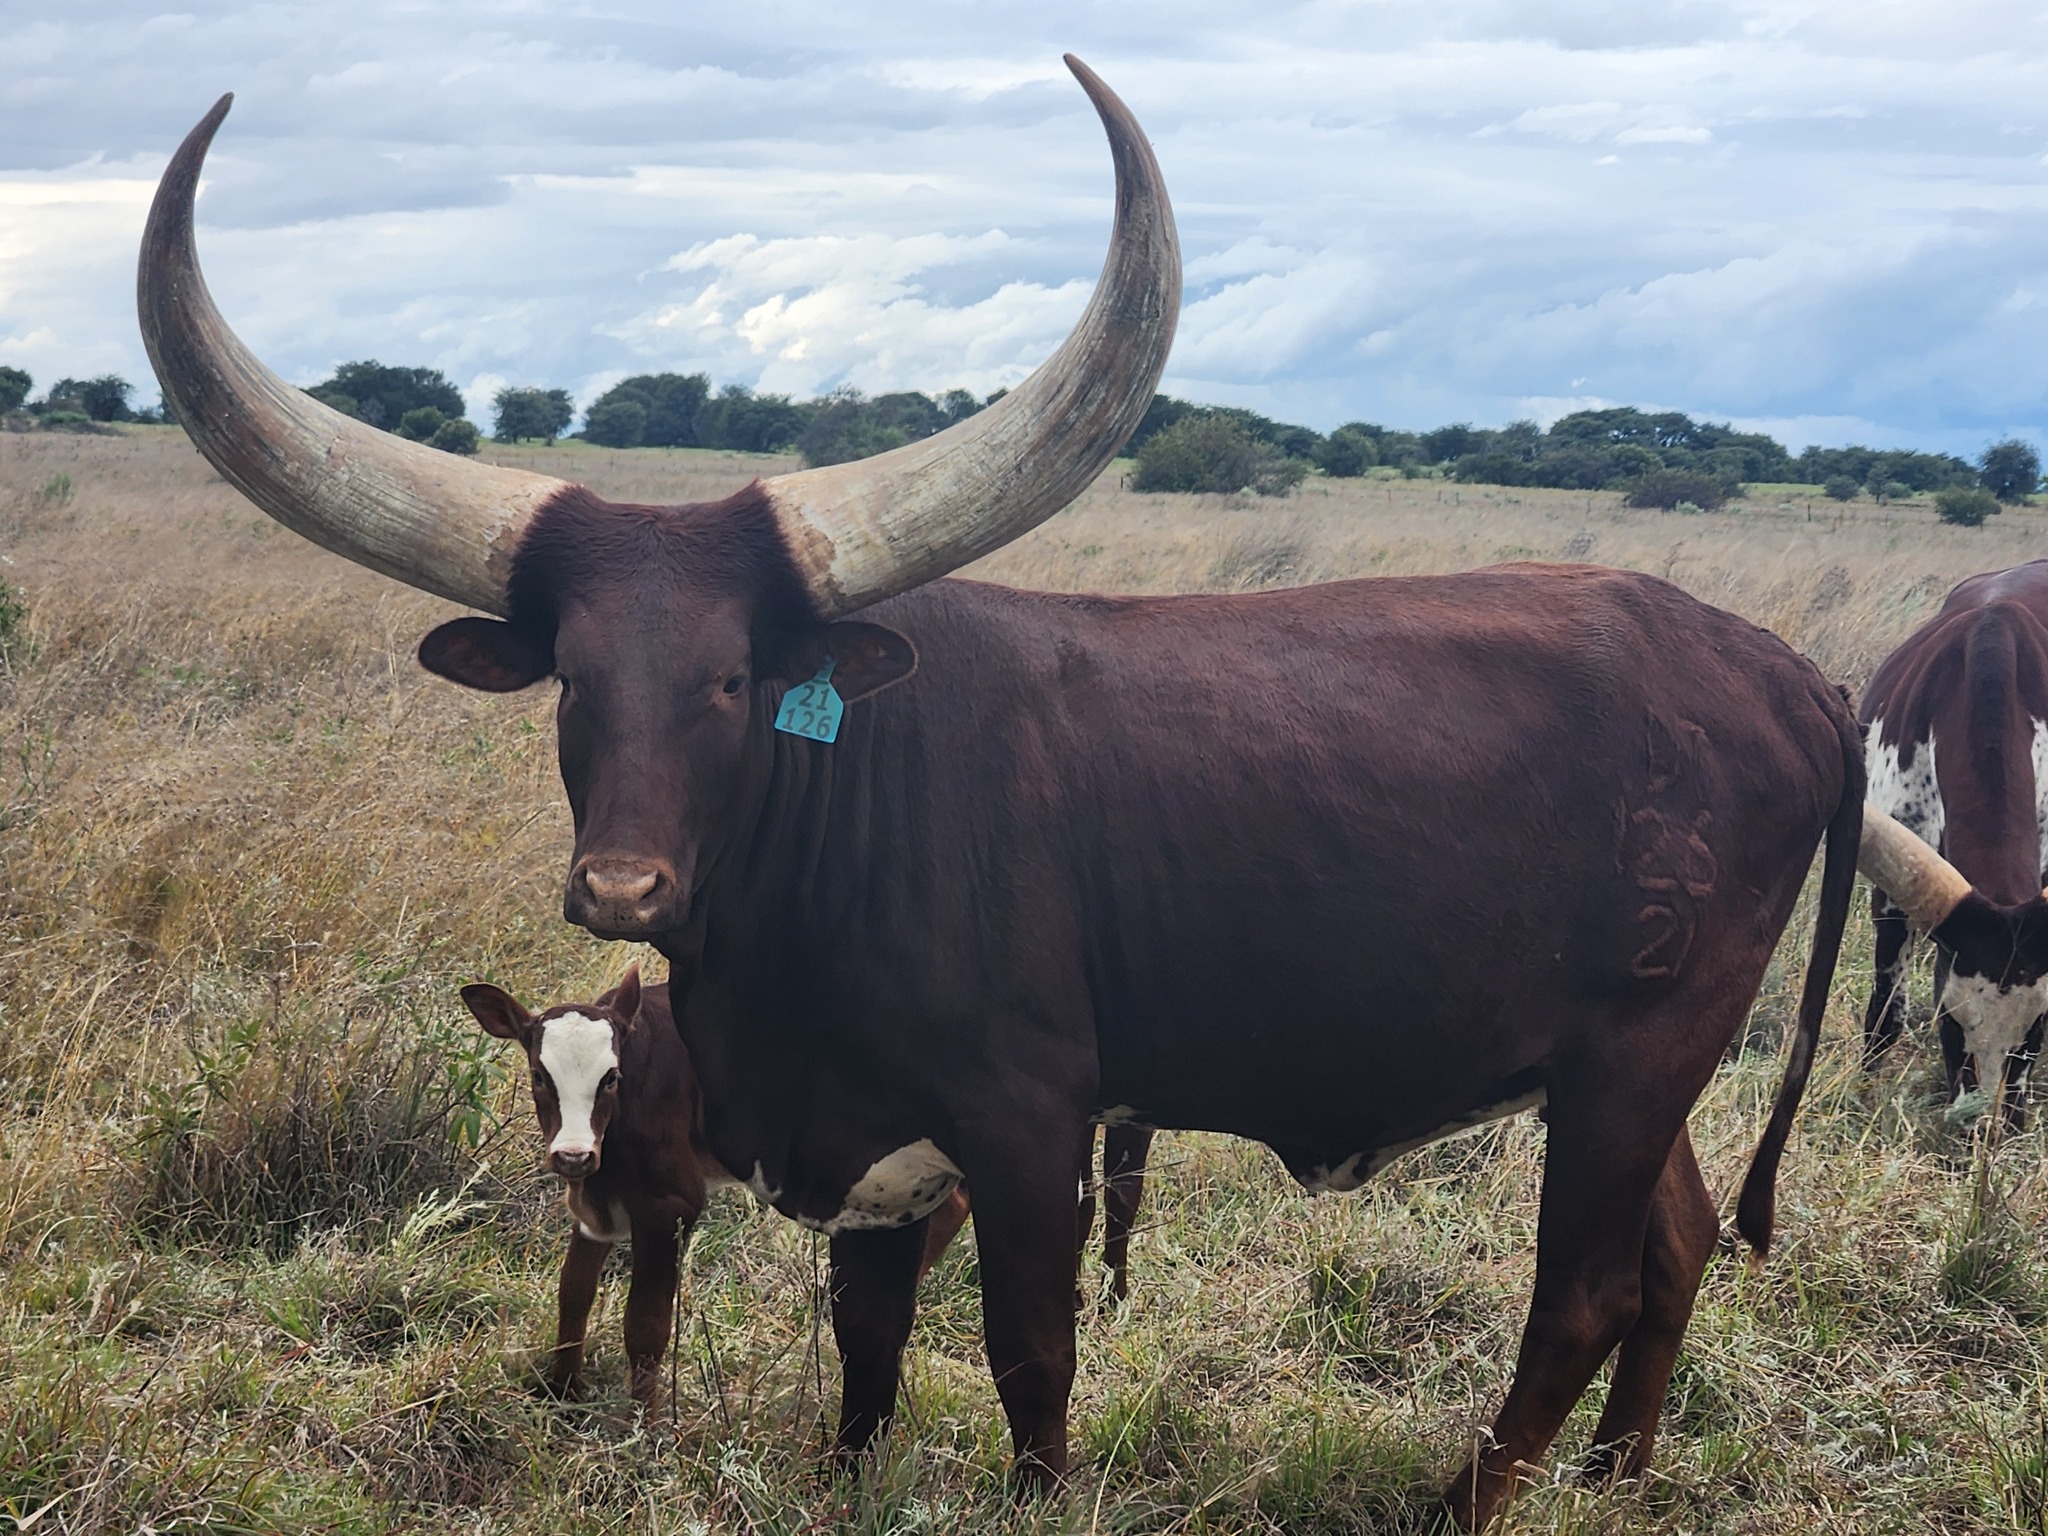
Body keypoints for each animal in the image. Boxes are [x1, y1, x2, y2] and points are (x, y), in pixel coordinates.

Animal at [144, 61, 1858, 1529]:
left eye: (735, 678)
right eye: (571, 676)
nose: (621, 892)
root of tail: (1788, 675)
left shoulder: (1030, 1125)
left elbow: (1031, 1357)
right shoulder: (874, 1162)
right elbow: (866, 1358)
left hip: (1640, 1061)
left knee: (1582, 1291)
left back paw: (1467, 1507)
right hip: (1617, 1074)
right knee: (1672, 1249)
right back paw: (1622, 1484)